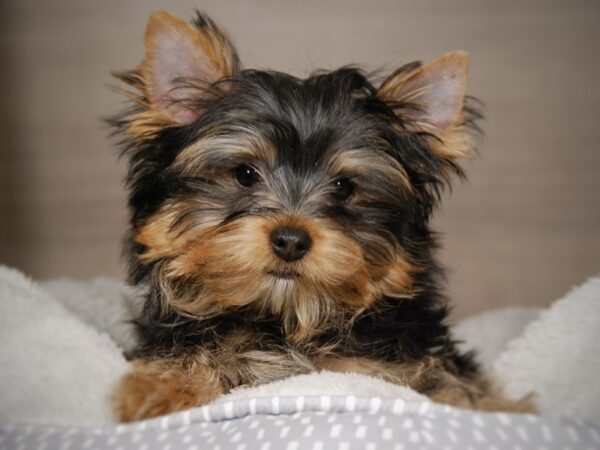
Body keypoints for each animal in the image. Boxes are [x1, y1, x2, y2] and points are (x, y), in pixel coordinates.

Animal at [110, 9, 532, 422]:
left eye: (344, 187)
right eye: (245, 174)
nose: (291, 240)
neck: (289, 317)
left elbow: (444, 387)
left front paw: (492, 408)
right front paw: (158, 390)